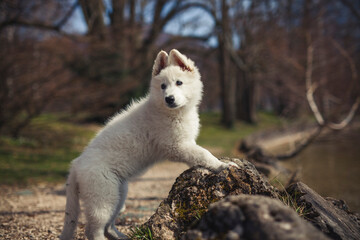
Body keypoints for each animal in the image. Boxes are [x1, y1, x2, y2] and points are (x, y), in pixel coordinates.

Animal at [60, 49, 235, 240]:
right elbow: (203, 153)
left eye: (179, 83)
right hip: (102, 196)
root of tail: (76, 165)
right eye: (163, 86)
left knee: (108, 226)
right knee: (94, 230)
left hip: (119, 193)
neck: (172, 112)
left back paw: (122, 237)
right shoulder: (176, 145)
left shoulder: (185, 144)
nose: (169, 99)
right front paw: (222, 165)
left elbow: (196, 155)